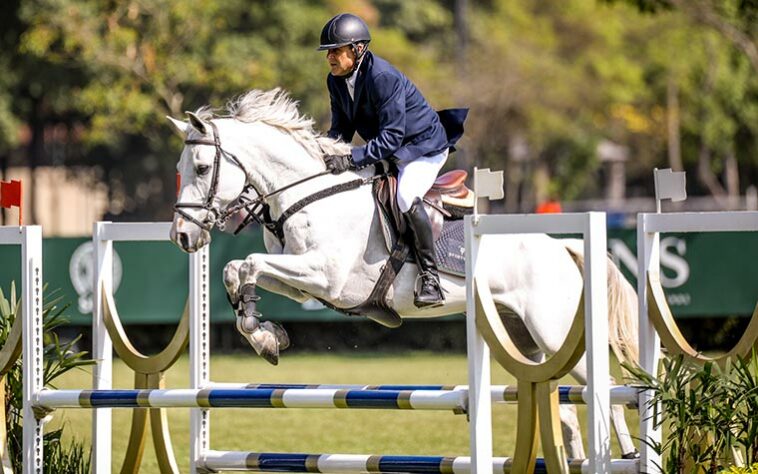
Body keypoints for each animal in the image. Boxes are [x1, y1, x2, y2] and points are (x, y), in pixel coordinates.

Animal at [168, 88, 640, 460]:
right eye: (179, 168)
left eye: (203, 168)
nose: (183, 236)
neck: (309, 194)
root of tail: (562, 246)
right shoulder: (303, 282)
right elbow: (236, 268)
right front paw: (265, 334)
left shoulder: (325, 277)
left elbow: (248, 263)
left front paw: (262, 333)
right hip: (524, 339)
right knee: (563, 405)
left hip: (553, 332)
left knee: (606, 389)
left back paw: (627, 453)